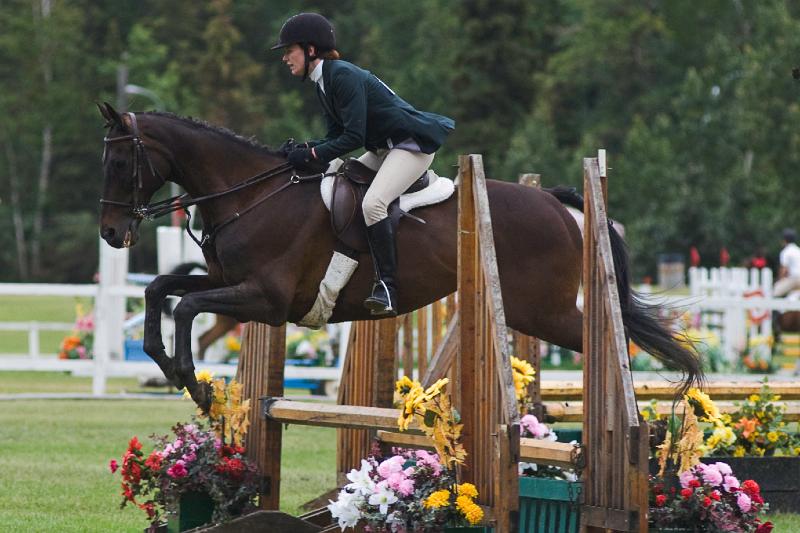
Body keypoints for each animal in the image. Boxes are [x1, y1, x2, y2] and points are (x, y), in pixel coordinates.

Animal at [98, 104, 700, 412]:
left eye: (122, 164)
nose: (110, 233)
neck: (252, 195)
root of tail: (554, 202)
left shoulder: (265, 301)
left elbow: (184, 308)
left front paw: (194, 383)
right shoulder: (228, 283)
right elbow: (160, 290)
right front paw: (164, 364)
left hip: (542, 311)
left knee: (612, 340)